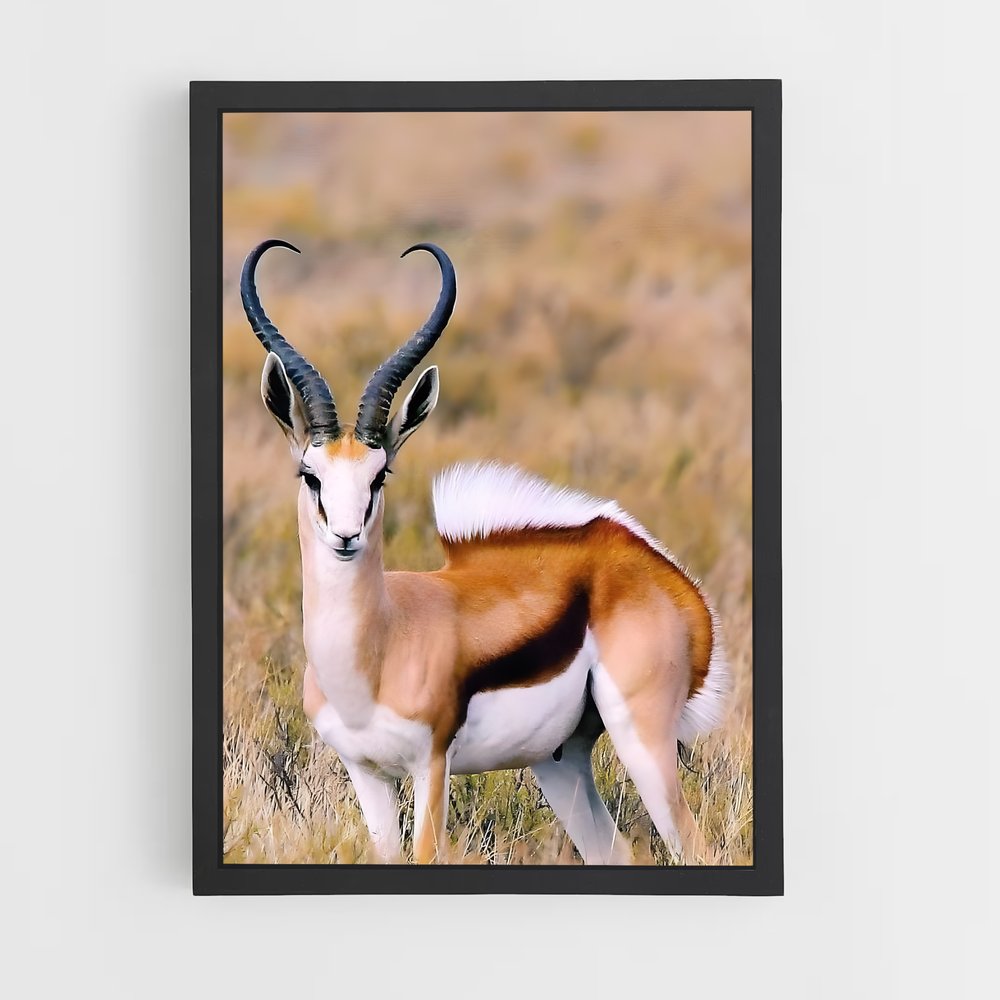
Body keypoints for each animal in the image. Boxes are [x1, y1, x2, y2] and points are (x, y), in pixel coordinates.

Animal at [240, 238, 730, 865]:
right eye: (310, 474)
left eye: (380, 474)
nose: (346, 536)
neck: (376, 653)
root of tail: (644, 560)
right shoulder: (366, 773)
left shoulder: (430, 765)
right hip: (561, 762)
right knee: (615, 850)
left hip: (641, 739)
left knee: (696, 845)